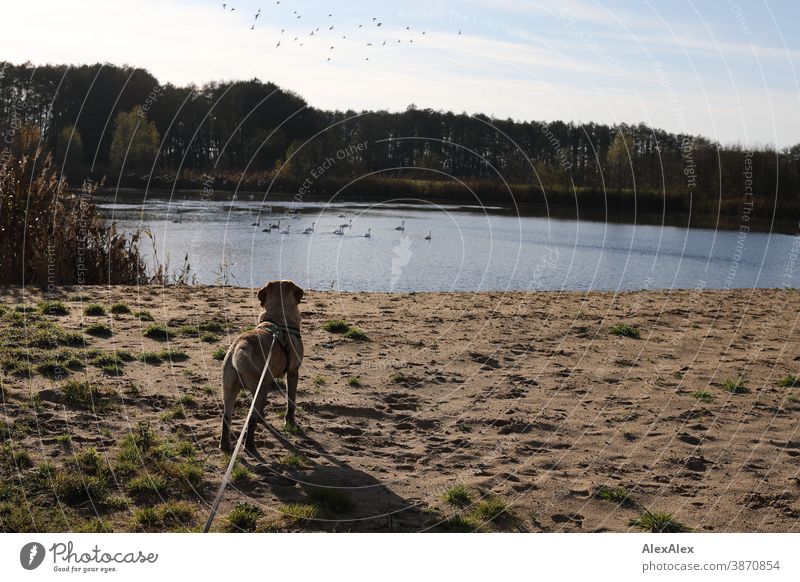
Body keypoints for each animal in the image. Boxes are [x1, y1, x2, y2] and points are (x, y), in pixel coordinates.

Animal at [220, 280, 304, 458]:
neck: (278, 319)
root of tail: (240, 346)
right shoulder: (293, 372)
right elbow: (291, 401)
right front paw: (290, 421)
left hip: (229, 387)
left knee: (226, 416)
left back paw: (225, 446)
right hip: (260, 388)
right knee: (251, 418)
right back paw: (250, 447)